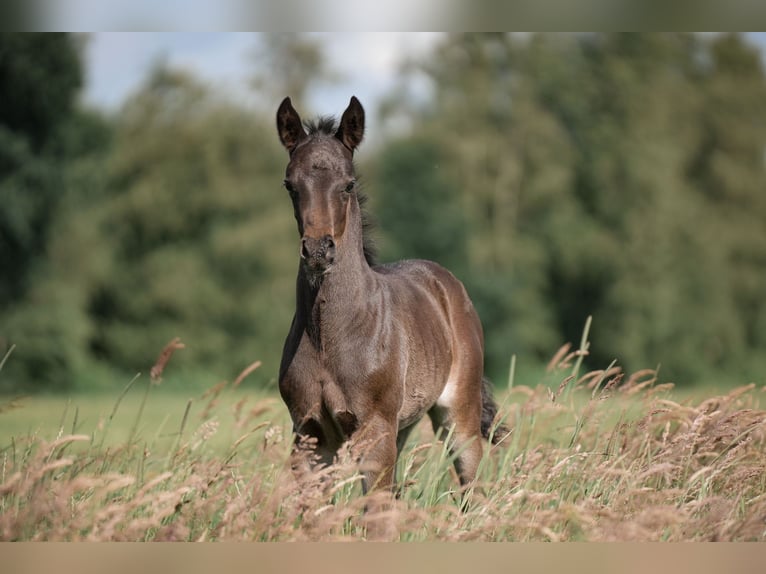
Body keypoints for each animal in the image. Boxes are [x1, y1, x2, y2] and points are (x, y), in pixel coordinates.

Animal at [276, 95, 504, 500]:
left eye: (348, 184)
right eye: (290, 184)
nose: (318, 250)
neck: (327, 336)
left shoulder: (374, 429)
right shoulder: (309, 434)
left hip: (457, 415)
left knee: (471, 482)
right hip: (404, 423)